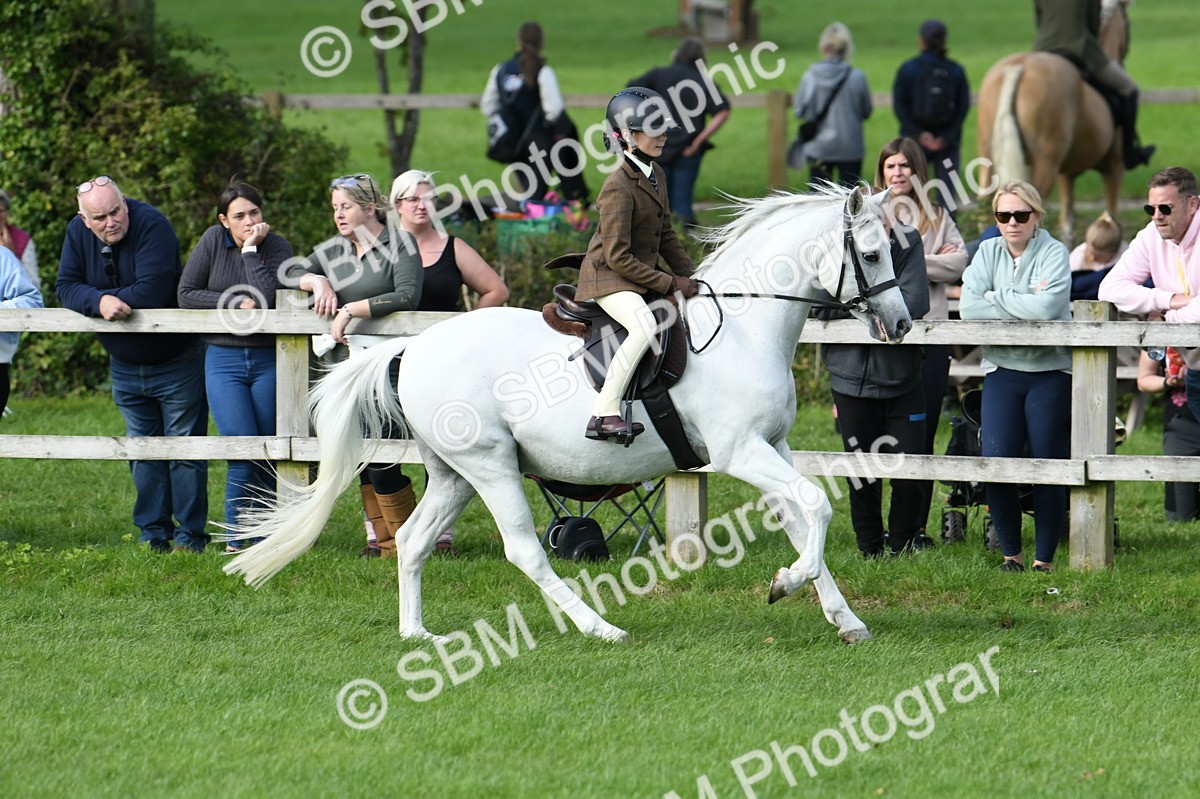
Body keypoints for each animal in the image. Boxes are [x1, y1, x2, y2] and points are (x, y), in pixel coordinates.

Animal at [223, 183, 912, 646]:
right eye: (873, 254)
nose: (903, 325)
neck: (744, 328)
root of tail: (411, 347)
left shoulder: (776, 447)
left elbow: (803, 518)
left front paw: (844, 619)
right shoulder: (741, 451)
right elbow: (815, 507)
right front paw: (785, 583)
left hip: (454, 473)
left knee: (414, 540)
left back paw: (416, 635)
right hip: (492, 467)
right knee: (526, 551)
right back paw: (598, 627)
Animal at [976, 0, 1131, 242]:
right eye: (1126, 23)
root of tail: (1019, 67)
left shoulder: (1066, 173)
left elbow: (1067, 222)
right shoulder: (1115, 167)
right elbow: (1111, 218)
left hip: (987, 161)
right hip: (1044, 166)